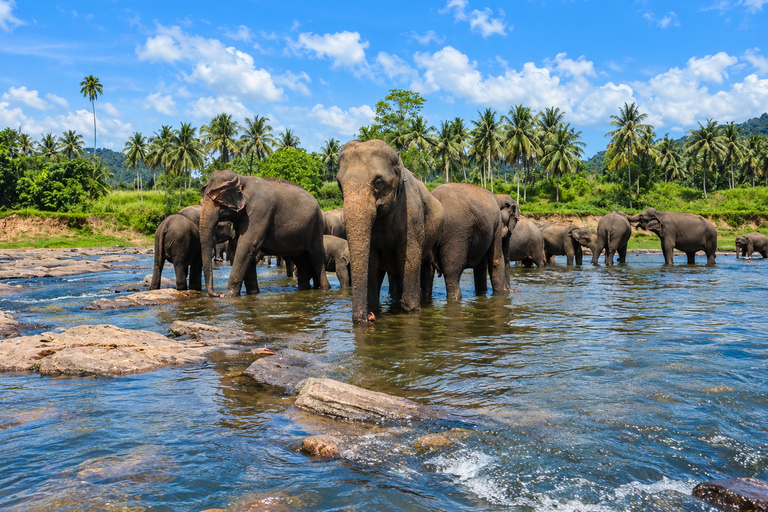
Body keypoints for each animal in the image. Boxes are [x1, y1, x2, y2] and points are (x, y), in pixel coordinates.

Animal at [199, 169, 330, 296]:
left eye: (218, 202)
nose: (216, 294)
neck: (241, 178)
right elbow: (242, 246)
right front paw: (252, 293)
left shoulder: (260, 210)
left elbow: (248, 244)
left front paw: (228, 296)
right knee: (301, 260)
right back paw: (304, 289)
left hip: (317, 225)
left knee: (317, 258)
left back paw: (325, 288)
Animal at [337, 139, 444, 323]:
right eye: (338, 184)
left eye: (378, 182)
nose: (369, 318)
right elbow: (371, 262)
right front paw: (374, 310)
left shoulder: (412, 214)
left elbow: (409, 258)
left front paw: (411, 311)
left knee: (425, 268)